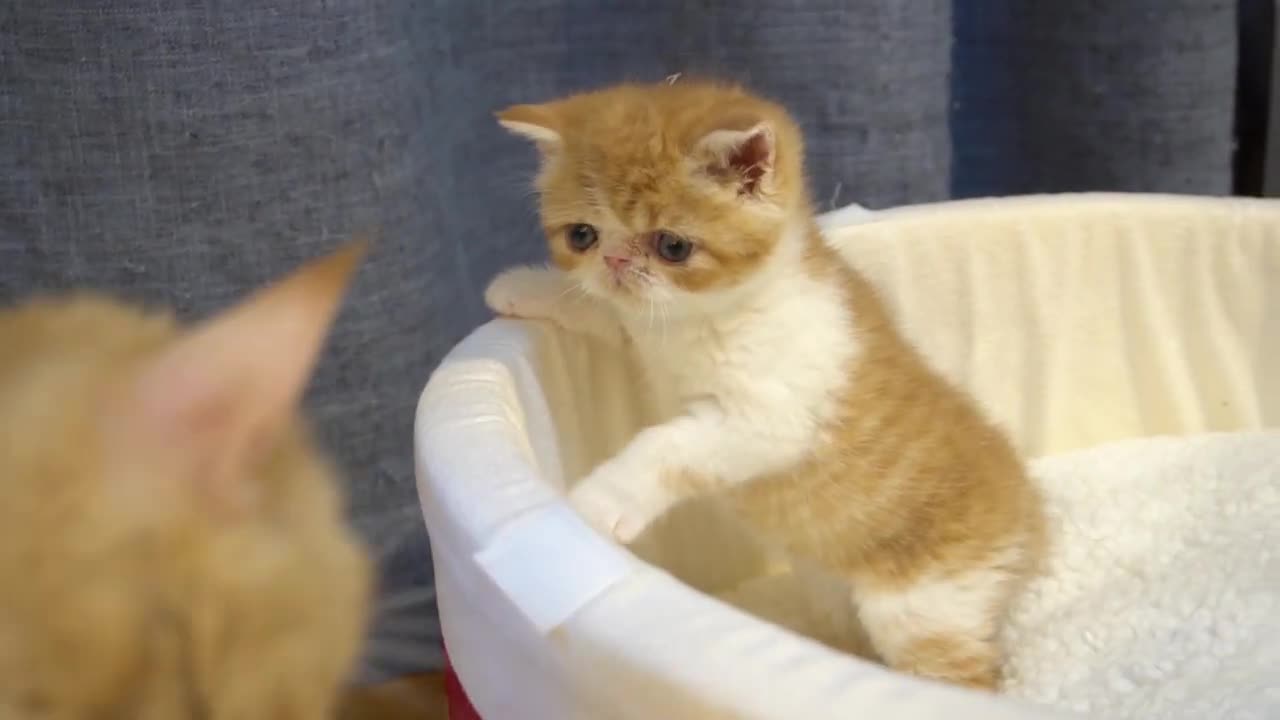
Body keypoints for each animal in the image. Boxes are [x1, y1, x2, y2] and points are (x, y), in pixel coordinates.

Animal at [483, 79, 1044, 691]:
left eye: (672, 246)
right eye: (582, 235)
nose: (614, 262)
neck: (703, 321)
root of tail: (1026, 501)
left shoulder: (774, 419)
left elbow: (666, 445)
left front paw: (600, 500)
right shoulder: (642, 328)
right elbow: (605, 312)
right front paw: (524, 287)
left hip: (925, 608)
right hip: (831, 588)